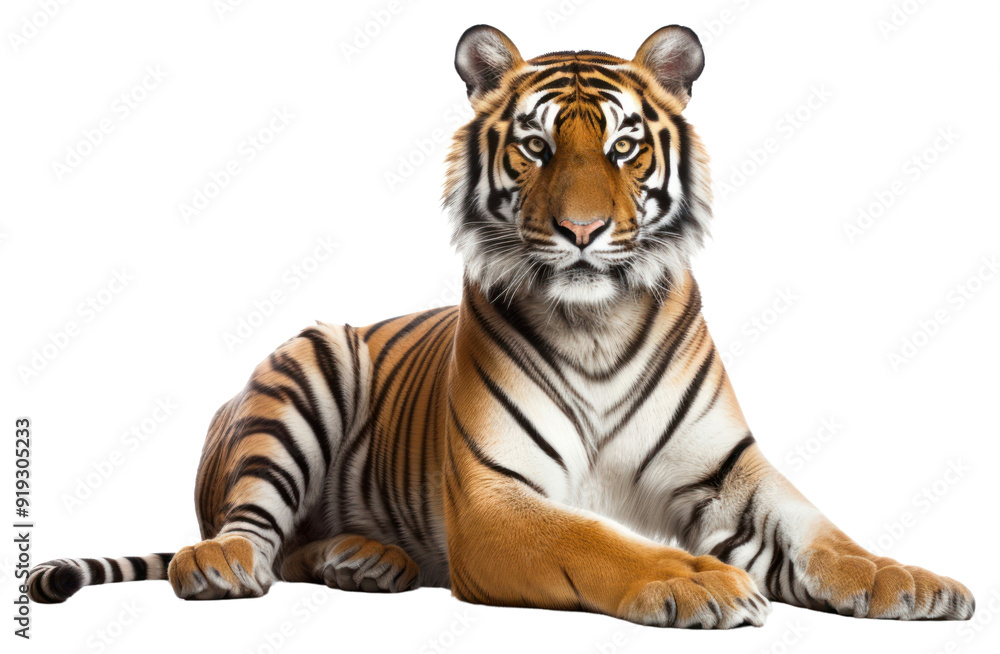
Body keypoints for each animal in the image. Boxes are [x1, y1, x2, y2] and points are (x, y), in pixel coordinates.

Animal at [28, 24, 975, 629]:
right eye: (537, 146)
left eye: (624, 147)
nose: (584, 230)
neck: (598, 321)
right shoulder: (493, 497)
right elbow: (597, 540)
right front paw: (695, 580)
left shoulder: (726, 476)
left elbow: (825, 536)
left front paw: (910, 581)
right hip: (304, 366)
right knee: (253, 526)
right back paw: (228, 564)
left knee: (296, 546)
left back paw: (364, 560)